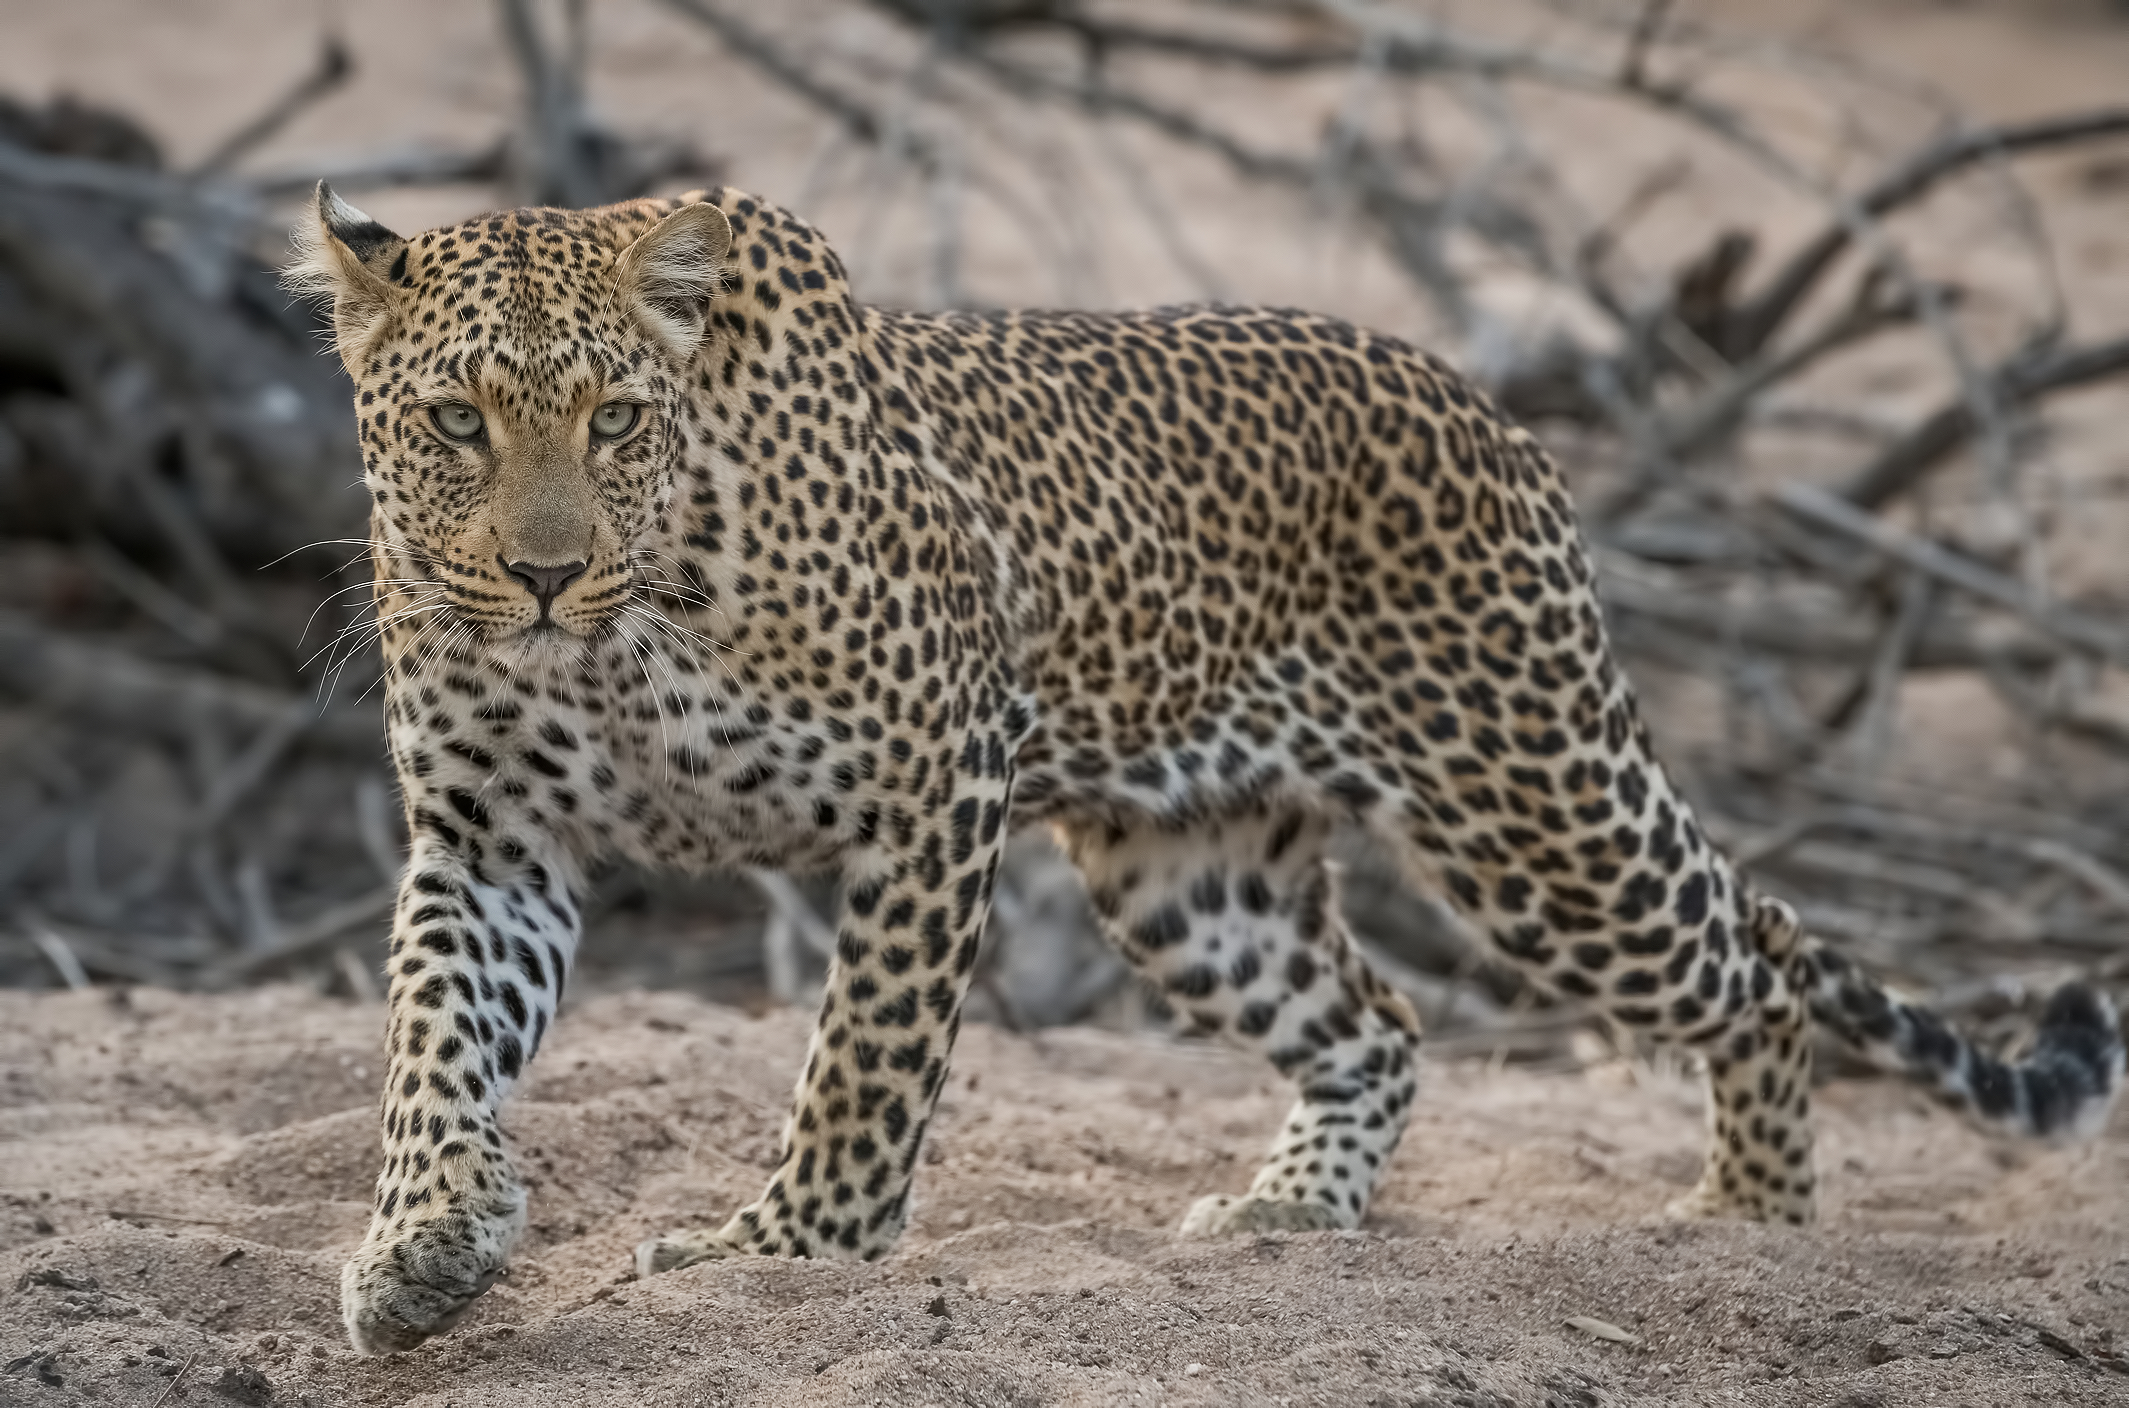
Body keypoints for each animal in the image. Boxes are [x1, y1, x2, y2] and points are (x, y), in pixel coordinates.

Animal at [286, 182, 2125, 1356]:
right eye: (454, 421)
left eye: (613, 420)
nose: (537, 573)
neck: (622, 624)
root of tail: (1483, 404)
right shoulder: (491, 838)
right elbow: (430, 1047)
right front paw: (422, 1245)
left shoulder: (934, 781)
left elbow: (862, 1062)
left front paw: (790, 1248)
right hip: (1193, 875)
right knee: (1378, 1022)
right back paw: (1286, 1214)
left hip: (1536, 813)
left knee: (1764, 944)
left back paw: (1746, 1213)